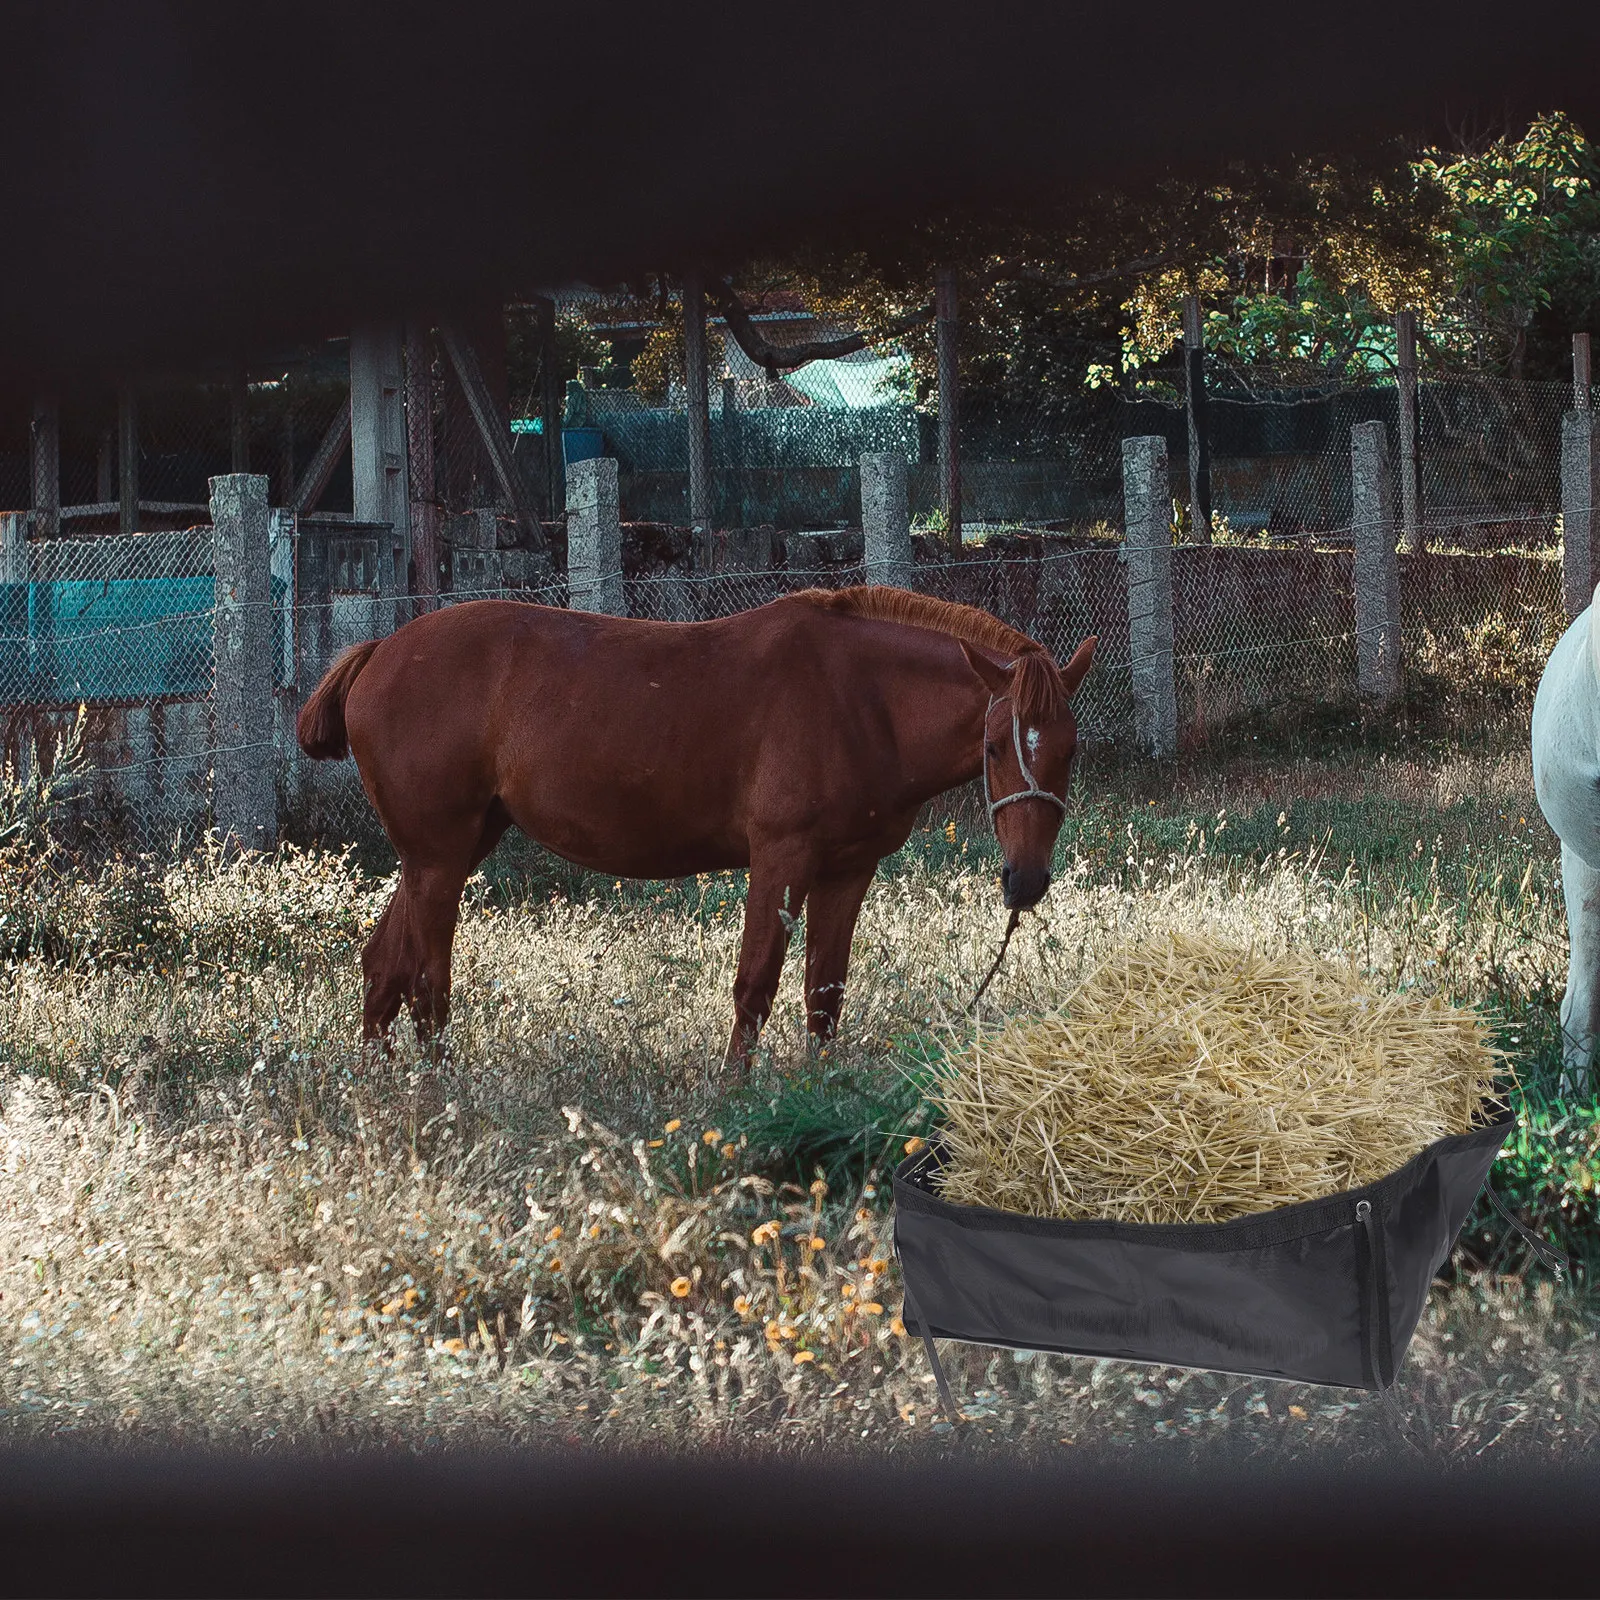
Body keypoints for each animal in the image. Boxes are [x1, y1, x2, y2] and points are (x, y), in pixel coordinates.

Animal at [295, 585, 1097, 1068]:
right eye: (995, 748)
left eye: (1068, 750)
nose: (1026, 881)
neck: (860, 699)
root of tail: (379, 651)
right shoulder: (781, 859)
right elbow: (757, 984)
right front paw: (736, 1093)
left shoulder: (848, 869)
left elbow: (825, 992)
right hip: (439, 858)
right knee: (427, 983)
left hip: (444, 853)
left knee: (384, 968)